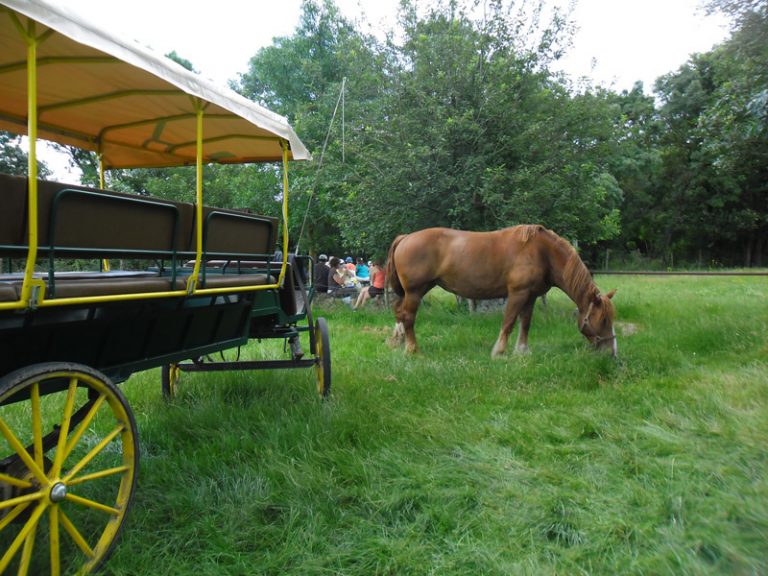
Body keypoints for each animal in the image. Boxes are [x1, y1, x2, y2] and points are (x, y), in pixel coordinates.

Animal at [384, 224, 616, 356]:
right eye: (603, 319)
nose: (611, 352)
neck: (542, 252)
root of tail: (405, 237)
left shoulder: (531, 296)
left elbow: (525, 323)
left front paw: (522, 351)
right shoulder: (518, 293)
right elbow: (509, 321)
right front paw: (499, 351)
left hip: (411, 292)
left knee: (399, 313)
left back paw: (400, 341)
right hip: (415, 291)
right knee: (408, 317)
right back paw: (412, 349)